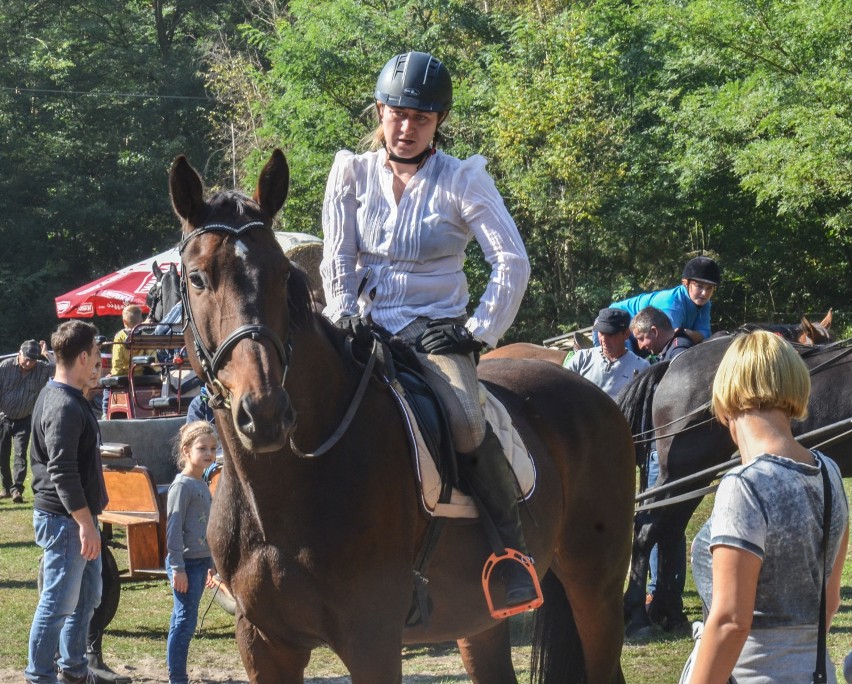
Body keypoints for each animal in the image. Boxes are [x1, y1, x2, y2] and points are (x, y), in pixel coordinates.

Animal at [170, 151, 636, 684]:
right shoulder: (263, 642)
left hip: (596, 591)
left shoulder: (372, 641)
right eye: (198, 277)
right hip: (481, 617)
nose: (265, 412)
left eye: (282, 275)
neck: (287, 489)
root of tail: (593, 394)